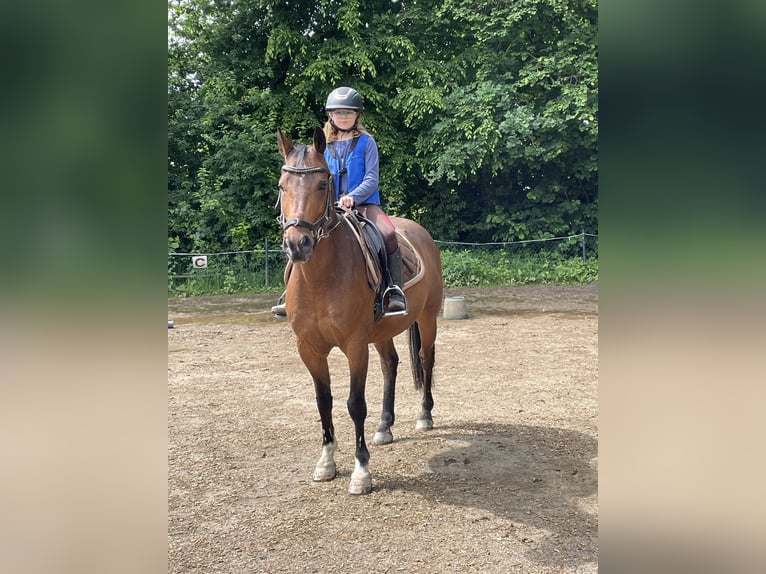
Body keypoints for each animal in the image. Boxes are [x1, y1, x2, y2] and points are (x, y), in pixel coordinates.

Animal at [276, 128, 444, 498]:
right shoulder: (308, 348)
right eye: (282, 185)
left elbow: (355, 404)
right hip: (381, 332)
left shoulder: (355, 345)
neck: (320, 279)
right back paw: (385, 426)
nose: (298, 244)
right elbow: (323, 400)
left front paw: (361, 471)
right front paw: (326, 462)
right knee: (390, 365)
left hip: (426, 319)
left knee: (425, 360)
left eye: (322, 183)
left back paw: (425, 416)